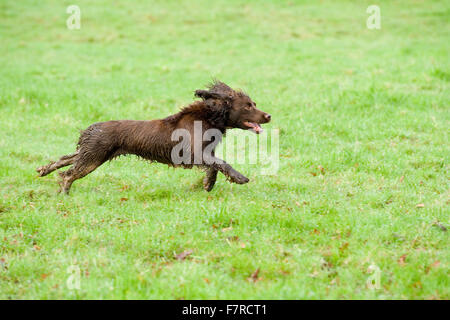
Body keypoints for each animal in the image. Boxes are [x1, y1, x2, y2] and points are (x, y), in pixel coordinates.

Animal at [37, 81, 270, 194]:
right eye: (247, 106)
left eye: (254, 104)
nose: (268, 116)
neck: (209, 116)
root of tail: (91, 128)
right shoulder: (194, 153)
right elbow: (223, 163)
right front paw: (240, 178)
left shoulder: (206, 153)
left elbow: (214, 166)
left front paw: (208, 184)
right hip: (93, 157)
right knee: (68, 174)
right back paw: (64, 194)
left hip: (91, 153)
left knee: (65, 159)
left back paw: (43, 170)